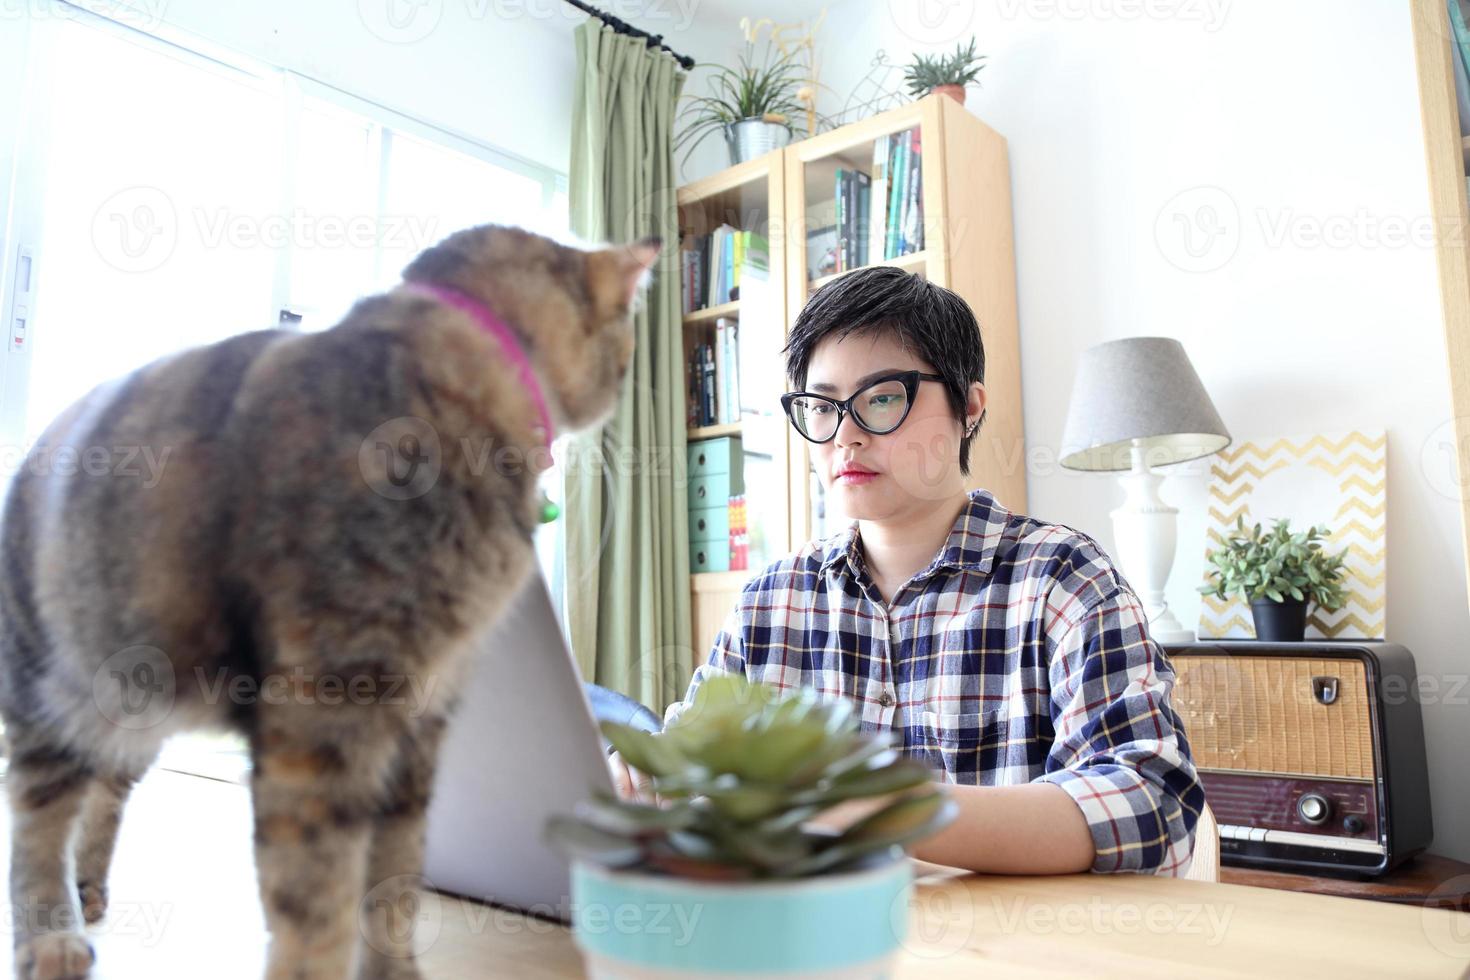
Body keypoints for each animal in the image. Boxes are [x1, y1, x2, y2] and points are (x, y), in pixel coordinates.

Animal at [0, 226, 661, 975]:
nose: (628, 376)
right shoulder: (325, 718)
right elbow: (317, 900)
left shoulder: (419, 726)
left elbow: (393, 883)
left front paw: (395, 970)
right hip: (57, 690)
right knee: (39, 819)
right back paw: (54, 936)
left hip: (140, 702)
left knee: (102, 789)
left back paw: (89, 888)